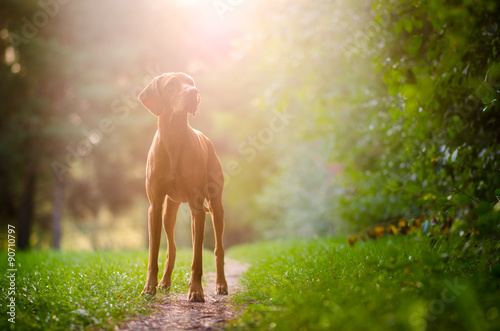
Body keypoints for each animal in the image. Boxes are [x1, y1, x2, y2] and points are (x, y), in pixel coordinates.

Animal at [139, 72, 229, 304]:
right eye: (171, 84)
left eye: (191, 82)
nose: (193, 92)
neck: (173, 136)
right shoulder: (155, 206)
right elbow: (153, 254)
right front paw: (149, 288)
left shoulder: (197, 207)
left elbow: (198, 258)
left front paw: (196, 291)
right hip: (169, 210)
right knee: (171, 248)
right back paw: (164, 283)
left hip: (215, 208)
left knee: (218, 249)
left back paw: (221, 285)